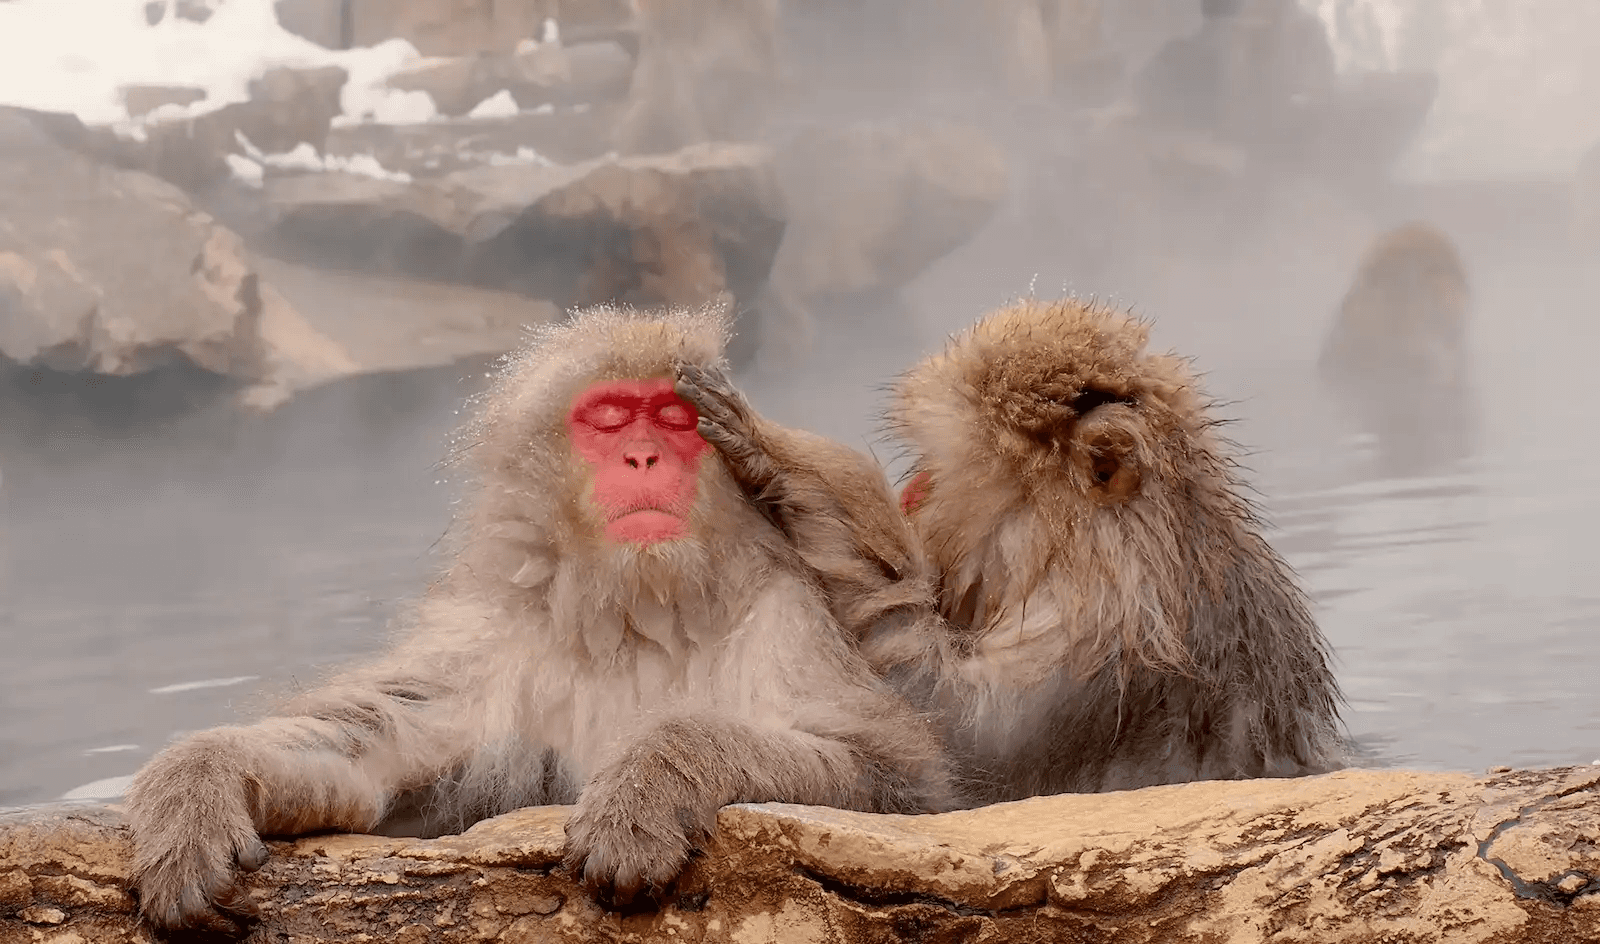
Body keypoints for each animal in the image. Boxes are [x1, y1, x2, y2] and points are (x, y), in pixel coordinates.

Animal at [122, 303, 953, 935]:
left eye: (676, 420)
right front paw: (201, 785)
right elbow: (374, 750)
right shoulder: (483, 642)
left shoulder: (786, 621)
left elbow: (893, 780)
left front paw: (654, 776)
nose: (646, 459)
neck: (637, 614)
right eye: (611, 419)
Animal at [677, 296, 1346, 807]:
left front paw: (787, 467)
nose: (913, 494)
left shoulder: (1096, 652)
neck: (1125, 554)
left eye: (940, 473)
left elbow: (958, 741)